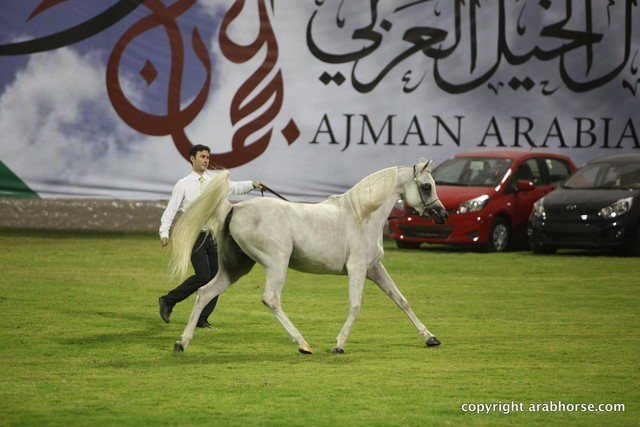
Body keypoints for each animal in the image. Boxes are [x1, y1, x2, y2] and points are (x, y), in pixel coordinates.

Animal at [169, 159, 448, 354]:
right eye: (426, 186)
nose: (442, 215)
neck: (362, 215)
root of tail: (234, 208)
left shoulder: (374, 269)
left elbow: (401, 301)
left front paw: (431, 338)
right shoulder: (357, 269)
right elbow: (356, 305)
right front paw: (338, 345)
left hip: (235, 268)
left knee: (204, 292)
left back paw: (182, 342)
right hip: (276, 264)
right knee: (271, 299)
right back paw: (303, 344)